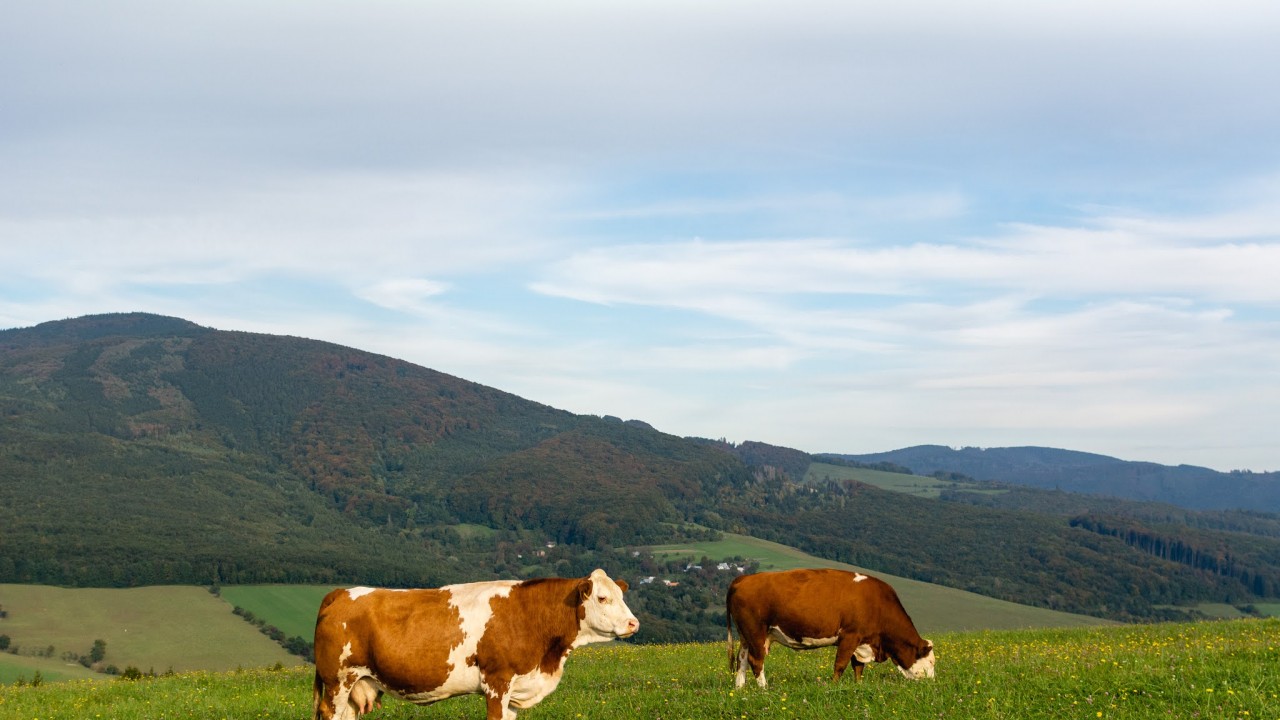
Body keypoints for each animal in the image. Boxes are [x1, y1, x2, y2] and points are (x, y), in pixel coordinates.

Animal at [314, 566, 640, 717]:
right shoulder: (497, 683)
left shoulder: (516, 690)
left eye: (622, 595)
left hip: (358, 684)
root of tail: (341, 592)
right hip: (337, 681)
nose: (633, 623)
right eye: (602, 597)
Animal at [727, 566, 936, 681]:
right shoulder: (850, 636)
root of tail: (744, 578)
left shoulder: (862, 641)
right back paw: (764, 690)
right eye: (931, 662)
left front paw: (858, 686)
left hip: (745, 635)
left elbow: (858, 667)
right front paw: (833, 686)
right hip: (756, 631)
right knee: (756, 661)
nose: (932, 682)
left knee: (741, 659)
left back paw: (740, 690)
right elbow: (840, 665)